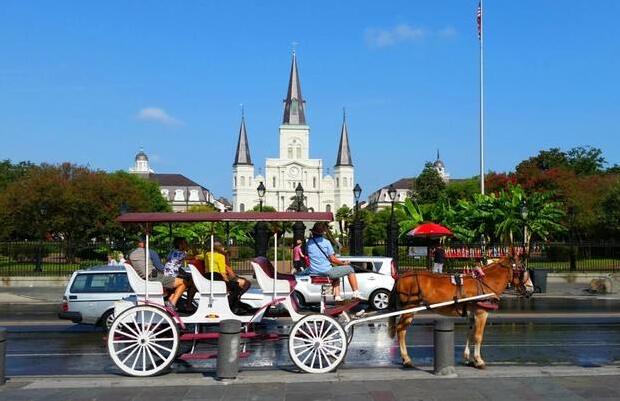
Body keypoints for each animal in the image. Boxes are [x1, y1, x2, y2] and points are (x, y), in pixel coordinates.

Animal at [388, 253, 532, 368]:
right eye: (522, 269)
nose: (531, 289)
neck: (484, 281)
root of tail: (401, 277)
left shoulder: (472, 314)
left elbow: (470, 334)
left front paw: (468, 358)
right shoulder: (481, 313)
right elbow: (478, 336)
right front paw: (478, 360)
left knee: (401, 329)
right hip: (409, 308)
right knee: (400, 330)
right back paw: (406, 359)